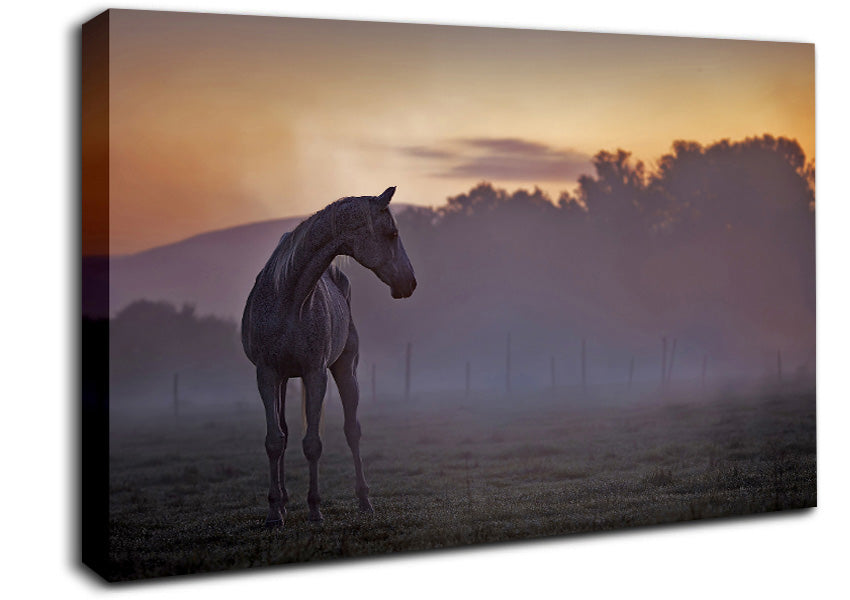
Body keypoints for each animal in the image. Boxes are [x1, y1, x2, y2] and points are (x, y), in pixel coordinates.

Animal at [241, 186, 417, 527]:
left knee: (352, 430)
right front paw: (274, 513)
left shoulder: (316, 372)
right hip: (284, 379)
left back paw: (364, 500)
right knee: (284, 431)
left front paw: (315, 509)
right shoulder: (267, 374)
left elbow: (313, 443)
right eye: (392, 233)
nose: (410, 282)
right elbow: (274, 440)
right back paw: (284, 502)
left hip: (345, 370)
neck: (289, 296)